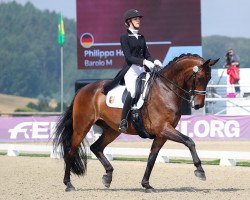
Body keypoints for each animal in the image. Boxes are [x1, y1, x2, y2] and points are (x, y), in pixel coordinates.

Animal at [53, 53, 219, 192]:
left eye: (209, 78)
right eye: (199, 78)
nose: (198, 105)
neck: (166, 90)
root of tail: (82, 90)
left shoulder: (162, 134)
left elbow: (152, 158)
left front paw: (146, 185)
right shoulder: (163, 128)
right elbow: (189, 141)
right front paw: (200, 170)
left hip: (112, 130)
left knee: (96, 147)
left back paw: (108, 176)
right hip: (82, 127)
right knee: (70, 151)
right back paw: (69, 184)